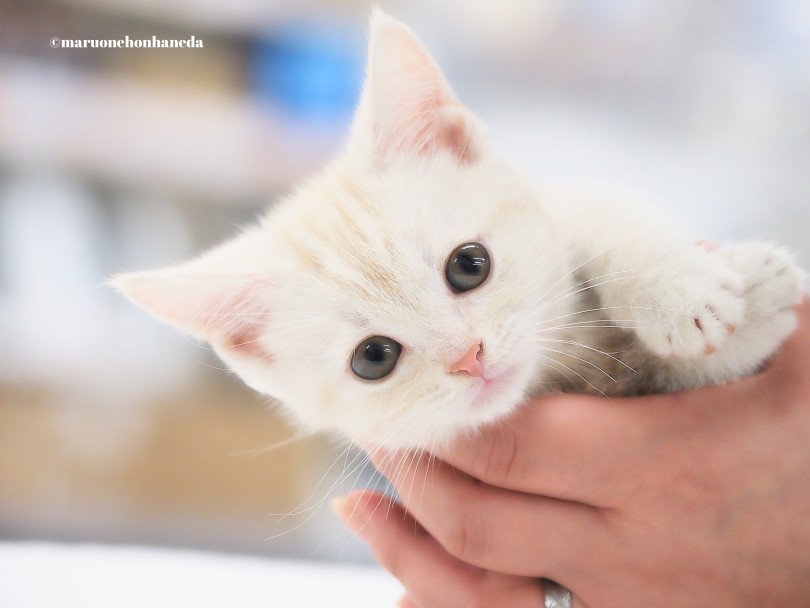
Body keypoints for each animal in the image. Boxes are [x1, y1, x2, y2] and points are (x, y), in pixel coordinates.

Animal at [109, 10, 800, 452]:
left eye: (470, 265)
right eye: (374, 358)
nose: (470, 357)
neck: (571, 353)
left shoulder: (562, 202)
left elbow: (606, 209)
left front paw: (687, 293)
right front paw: (755, 307)